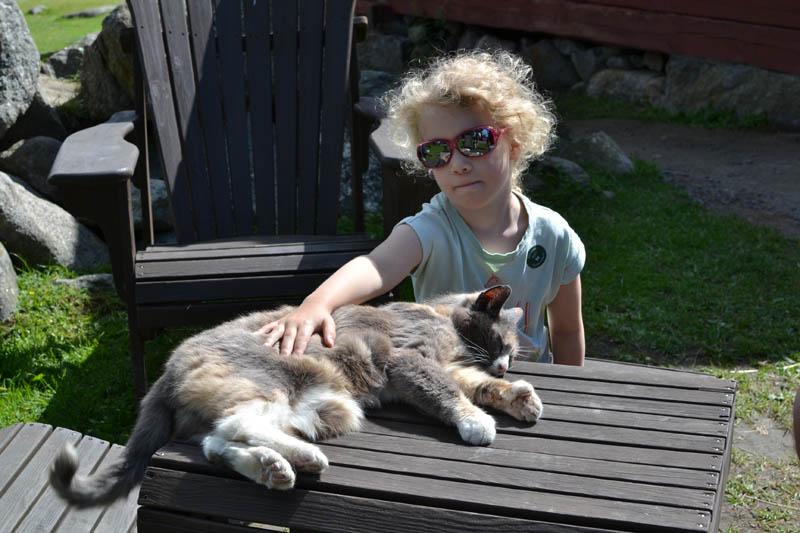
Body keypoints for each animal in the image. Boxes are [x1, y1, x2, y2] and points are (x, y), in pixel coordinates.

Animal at [50, 285, 542, 506]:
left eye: (512, 355)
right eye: (503, 344)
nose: (505, 364)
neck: (443, 319)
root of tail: (167, 370)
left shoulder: (455, 367)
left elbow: (479, 385)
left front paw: (520, 397)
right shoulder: (410, 361)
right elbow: (447, 392)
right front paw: (476, 422)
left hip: (323, 408)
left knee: (216, 442)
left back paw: (275, 468)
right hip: (284, 387)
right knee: (236, 425)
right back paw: (302, 459)